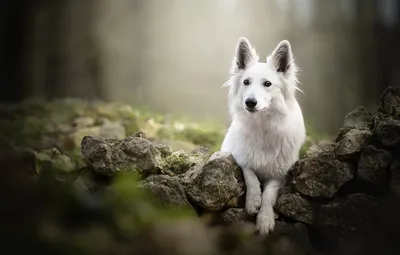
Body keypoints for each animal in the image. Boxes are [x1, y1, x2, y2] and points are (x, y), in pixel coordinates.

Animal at [220, 37, 304, 235]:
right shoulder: (240, 157)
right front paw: (253, 201)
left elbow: (269, 195)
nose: (250, 102)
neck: (263, 126)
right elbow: (250, 175)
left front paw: (265, 219)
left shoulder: (279, 173)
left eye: (267, 84)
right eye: (246, 82)